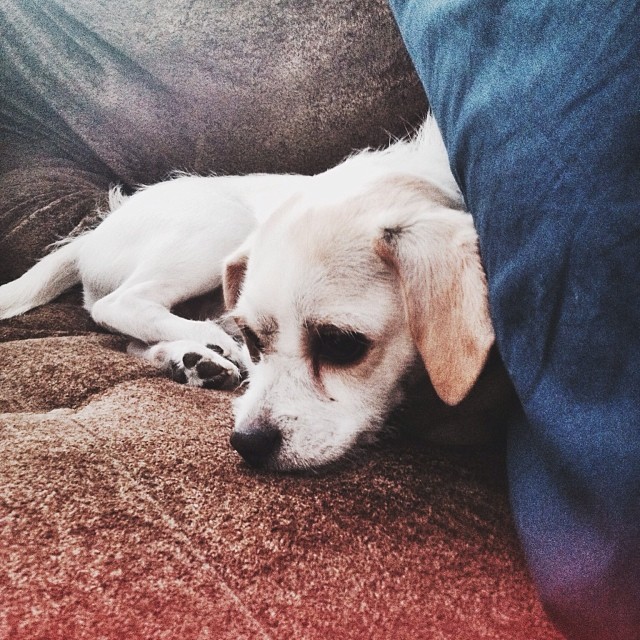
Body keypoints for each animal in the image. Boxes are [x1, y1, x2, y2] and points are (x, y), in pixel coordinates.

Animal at [0, 118, 512, 471]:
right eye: (253, 337)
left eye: (341, 344)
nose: (245, 444)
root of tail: (92, 233)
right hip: (221, 227)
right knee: (117, 304)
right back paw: (208, 343)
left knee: (126, 335)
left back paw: (194, 359)